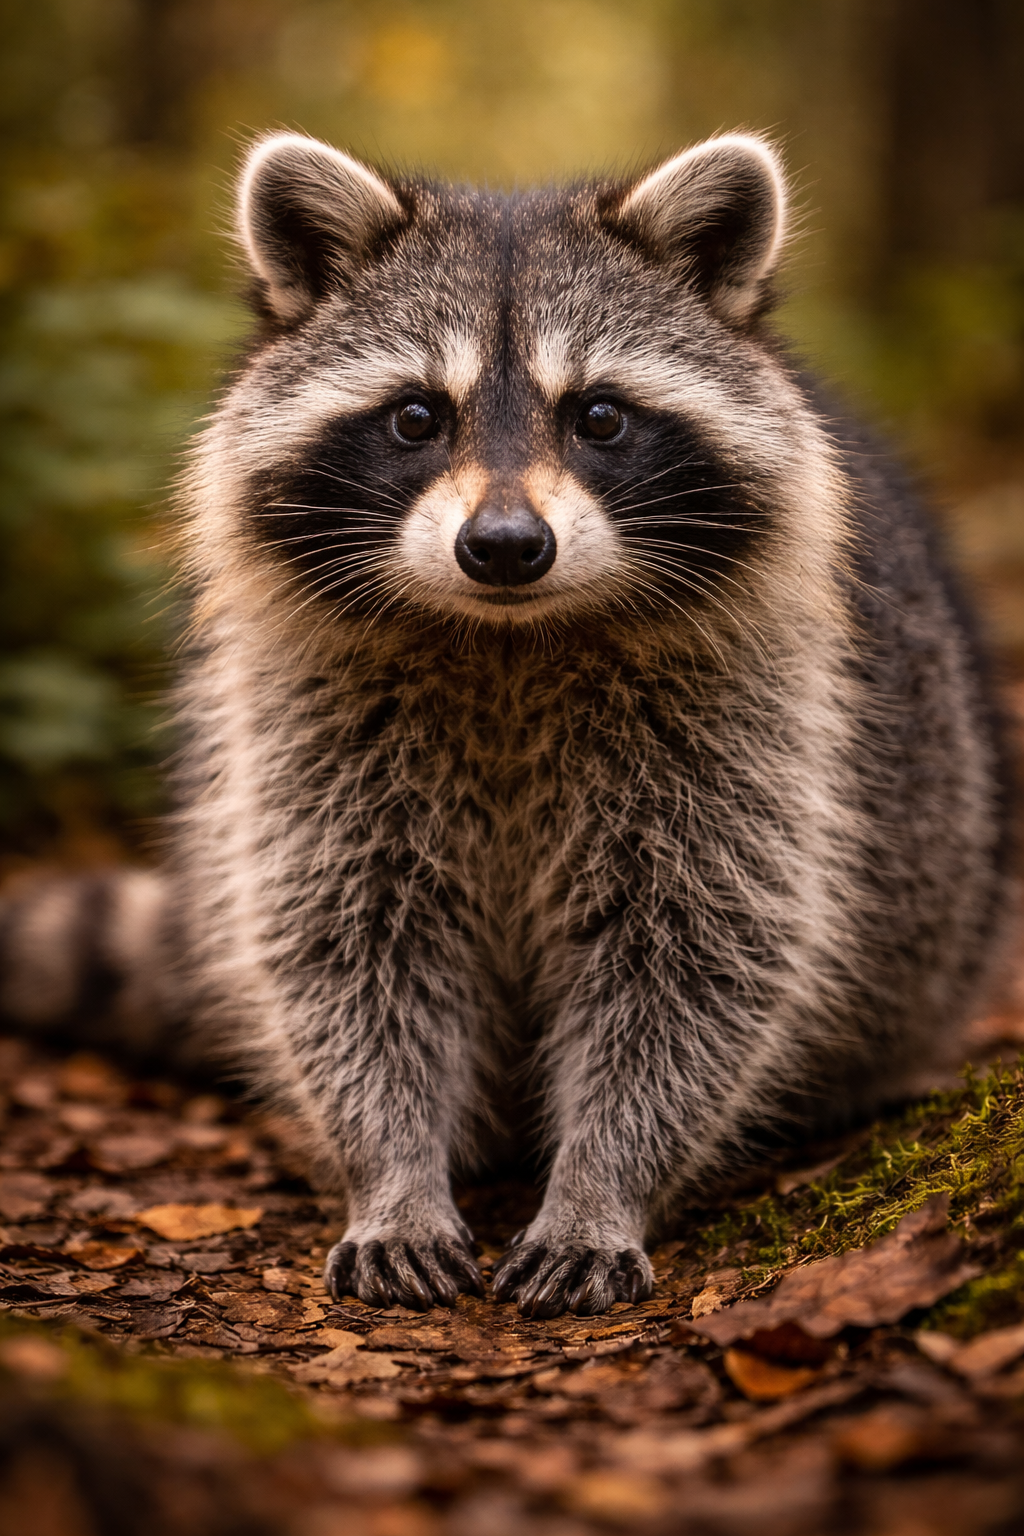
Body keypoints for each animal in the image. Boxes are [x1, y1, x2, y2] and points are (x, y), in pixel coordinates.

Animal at [1, 132, 1008, 1318]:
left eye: (599, 416)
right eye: (416, 417)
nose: (505, 546)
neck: (509, 641)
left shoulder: (751, 713)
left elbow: (697, 954)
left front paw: (603, 1185)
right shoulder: (314, 715)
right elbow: (349, 945)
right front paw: (391, 1173)